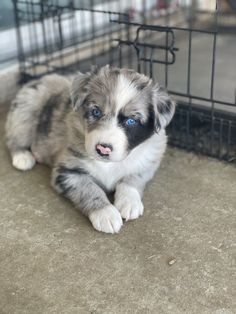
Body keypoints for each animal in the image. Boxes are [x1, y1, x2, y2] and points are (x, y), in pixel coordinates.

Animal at [5, 66, 175, 233]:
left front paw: (129, 202)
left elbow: (132, 179)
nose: (103, 149)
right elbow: (89, 189)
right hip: (25, 113)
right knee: (12, 138)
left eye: (131, 121)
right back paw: (23, 157)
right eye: (96, 111)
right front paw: (106, 214)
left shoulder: (147, 163)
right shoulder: (67, 171)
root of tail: (36, 79)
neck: (108, 164)